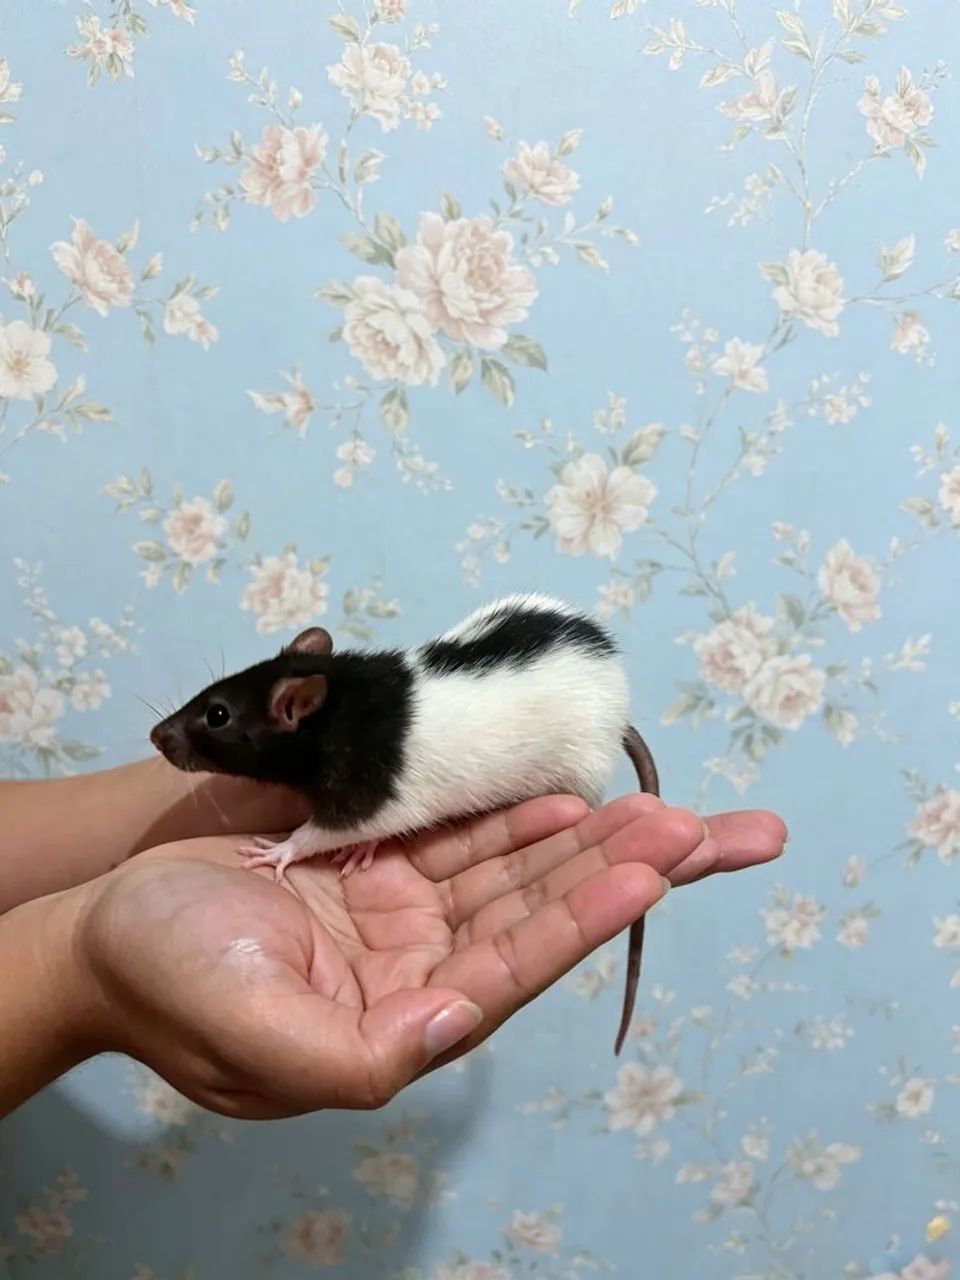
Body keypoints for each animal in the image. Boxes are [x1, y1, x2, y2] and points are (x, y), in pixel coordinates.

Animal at [150, 593, 660, 1053]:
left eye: (217, 714)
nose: (157, 736)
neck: (334, 702)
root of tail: (620, 712)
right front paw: (362, 850)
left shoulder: (364, 792)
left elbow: (330, 830)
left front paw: (281, 850)